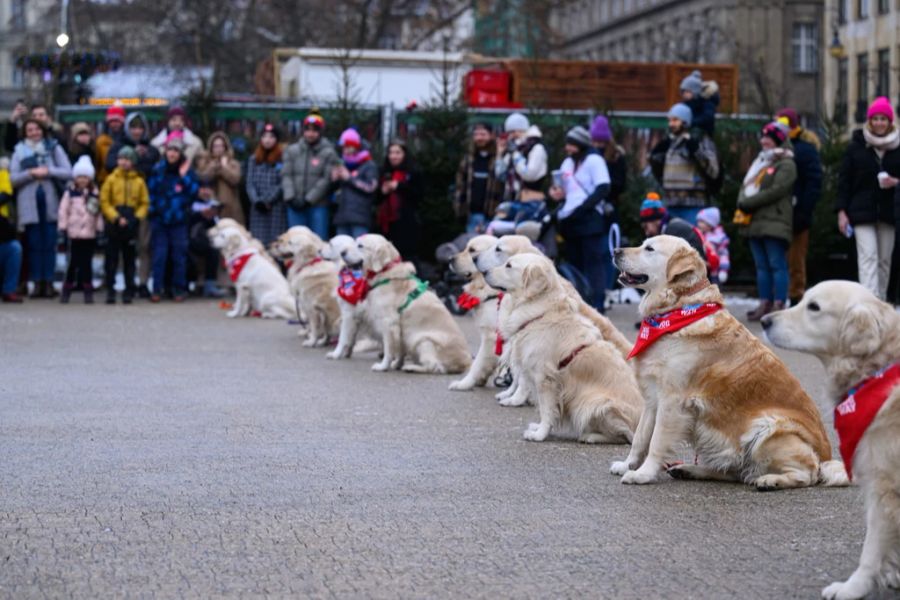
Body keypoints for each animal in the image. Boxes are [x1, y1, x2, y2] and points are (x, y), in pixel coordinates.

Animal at [342, 232, 472, 372]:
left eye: (360, 245)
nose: (342, 252)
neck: (385, 272)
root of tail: (467, 362)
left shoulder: (389, 323)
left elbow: (389, 350)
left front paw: (383, 366)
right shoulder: (401, 332)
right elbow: (400, 351)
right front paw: (397, 364)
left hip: (424, 341)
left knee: (434, 366)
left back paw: (412, 367)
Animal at [608, 232, 848, 490]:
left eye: (649, 249)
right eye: (643, 244)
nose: (615, 251)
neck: (679, 306)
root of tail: (827, 457)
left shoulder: (672, 401)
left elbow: (656, 441)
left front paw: (643, 473)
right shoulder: (653, 397)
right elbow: (641, 436)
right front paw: (628, 464)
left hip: (768, 428)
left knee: (807, 474)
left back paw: (770, 480)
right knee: (736, 472)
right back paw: (689, 469)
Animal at [760, 282, 900, 600]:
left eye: (814, 307)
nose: (764, 321)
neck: (876, 372)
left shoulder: (884, 486)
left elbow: (871, 551)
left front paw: (853, 588)